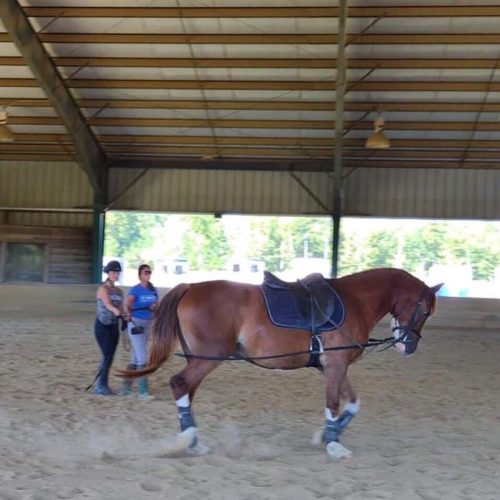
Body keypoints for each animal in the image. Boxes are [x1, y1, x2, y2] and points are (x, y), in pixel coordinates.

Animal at [121, 268, 442, 458]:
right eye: (425, 310)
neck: (353, 302)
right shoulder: (336, 365)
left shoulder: (333, 366)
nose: (408, 347)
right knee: (180, 384)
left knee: (187, 390)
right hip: (207, 358)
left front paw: (328, 434)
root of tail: (190, 287)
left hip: (201, 358)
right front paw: (334, 443)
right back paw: (189, 440)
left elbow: (352, 403)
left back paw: (193, 440)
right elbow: (334, 403)